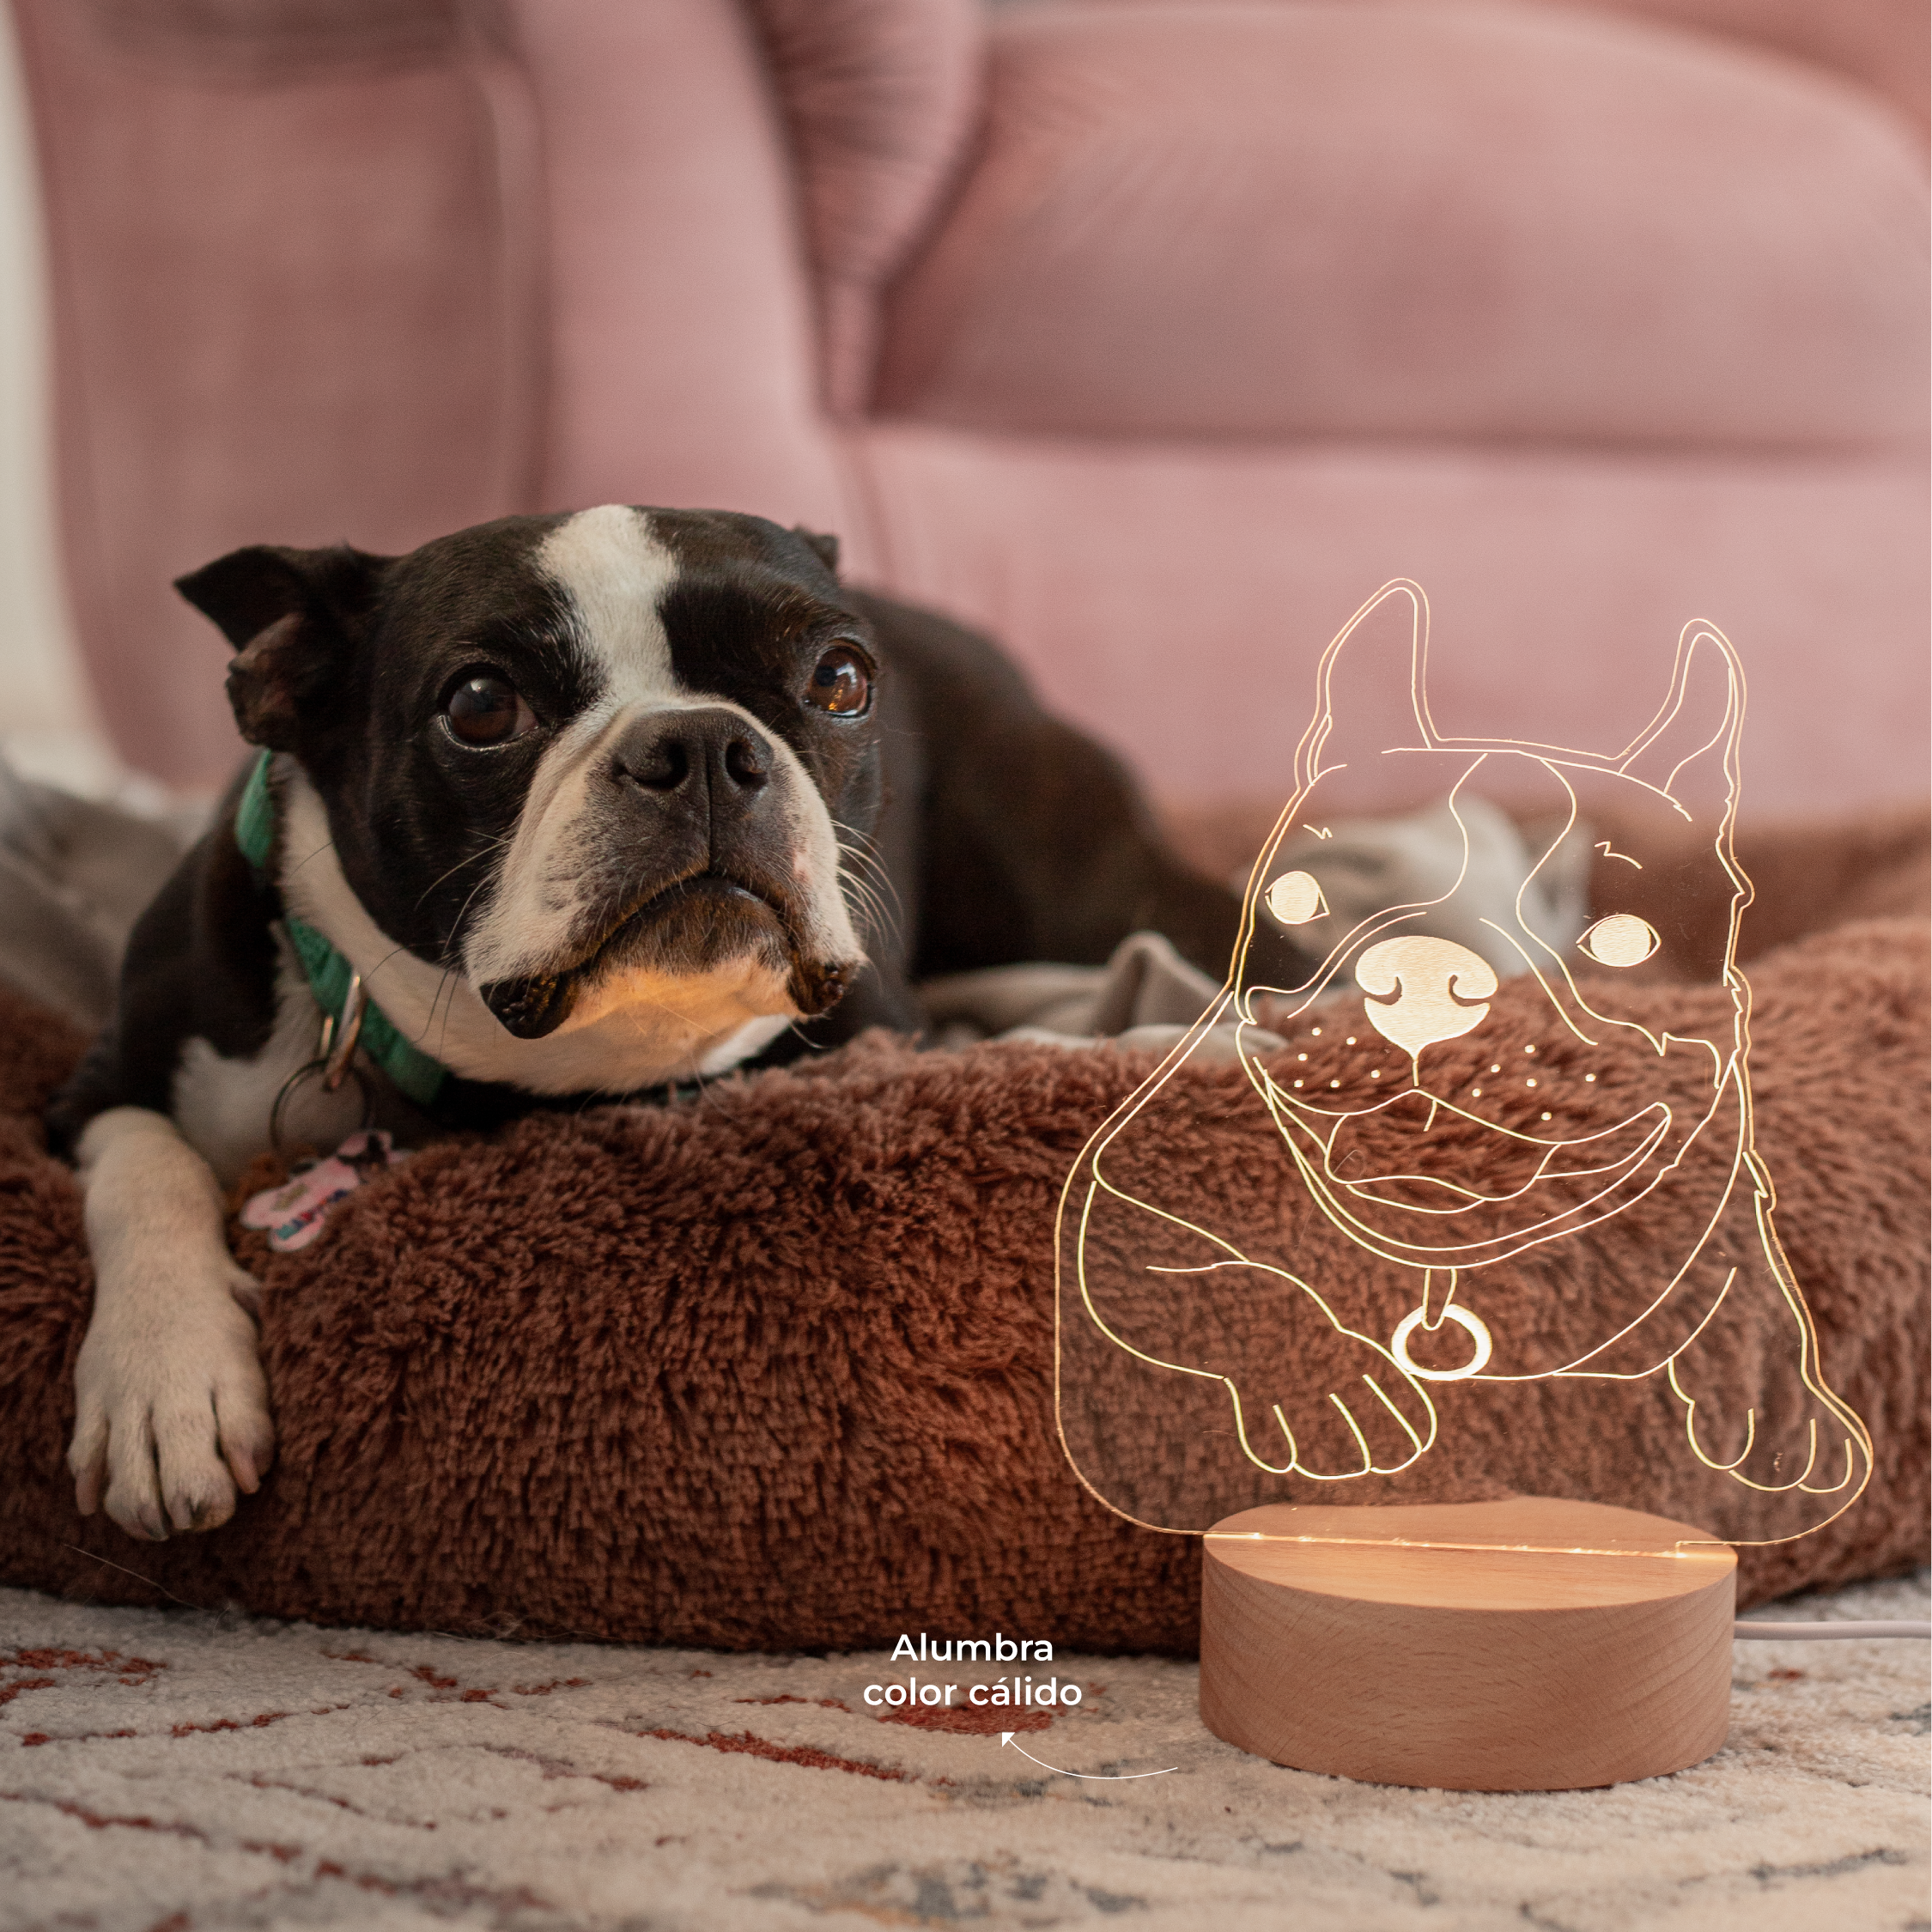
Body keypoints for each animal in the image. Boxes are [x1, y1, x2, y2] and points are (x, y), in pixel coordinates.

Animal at [52, 506, 1244, 1546]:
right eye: (479, 706)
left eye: (841, 680)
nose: (706, 744)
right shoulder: (94, 1088)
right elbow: (147, 1163)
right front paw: (165, 1379)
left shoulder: (874, 1028)